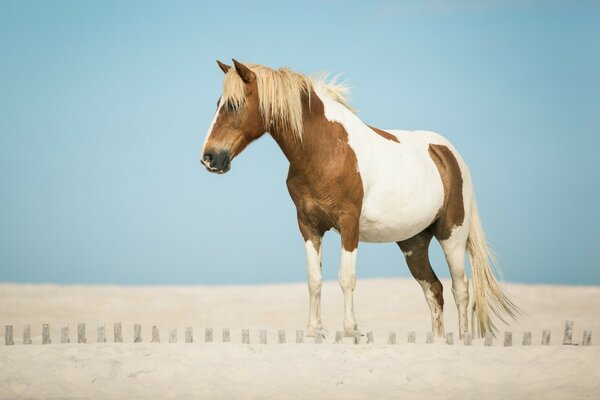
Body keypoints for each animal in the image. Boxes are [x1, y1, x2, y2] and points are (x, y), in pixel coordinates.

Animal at [199, 59, 516, 338]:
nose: (209, 158)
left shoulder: (348, 224)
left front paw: (352, 330)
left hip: (452, 235)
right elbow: (314, 280)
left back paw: (463, 339)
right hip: (413, 243)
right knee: (433, 290)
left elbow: (346, 278)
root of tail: (448, 154)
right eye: (217, 104)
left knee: (460, 289)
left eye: (233, 104)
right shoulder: (308, 226)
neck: (326, 151)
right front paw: (314, 331)